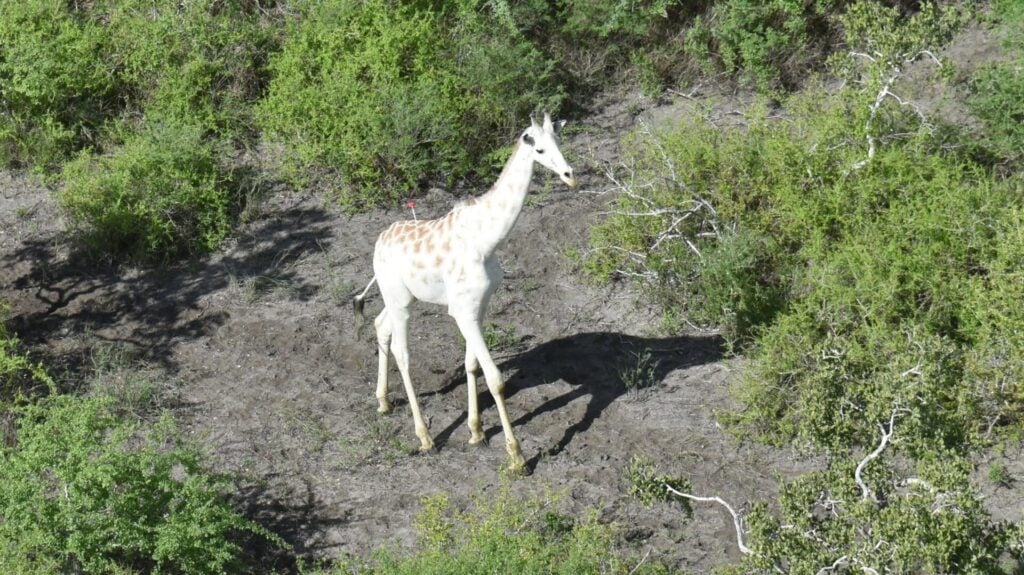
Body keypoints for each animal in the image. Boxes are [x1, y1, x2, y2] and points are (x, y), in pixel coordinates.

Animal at [353, 113, 576, 473]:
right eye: (539, 149)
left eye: (559, 141)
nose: (570, 176)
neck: (486, 239)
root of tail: (378, 243)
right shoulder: (462, 310)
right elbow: (496, 378)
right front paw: (517, 457)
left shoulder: (480, 306)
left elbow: (472, 365)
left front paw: (476, 432)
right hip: (400, 301)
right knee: (403, 352)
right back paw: (425, 438)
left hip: (399, 296)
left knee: (379, 325)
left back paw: (383, 402)